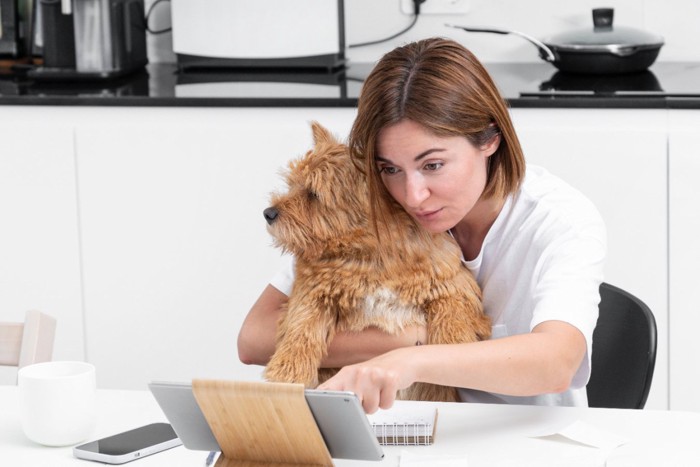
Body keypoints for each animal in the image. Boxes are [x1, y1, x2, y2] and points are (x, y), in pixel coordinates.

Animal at [262, 121, 492, 402]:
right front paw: (287, 370)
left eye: (313, 194)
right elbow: (303, 322)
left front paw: (452, 347)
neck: (370, 256)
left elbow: (452, 310)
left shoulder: (453, 281)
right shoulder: (313, 290)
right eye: (292, 184)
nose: (268, 213)